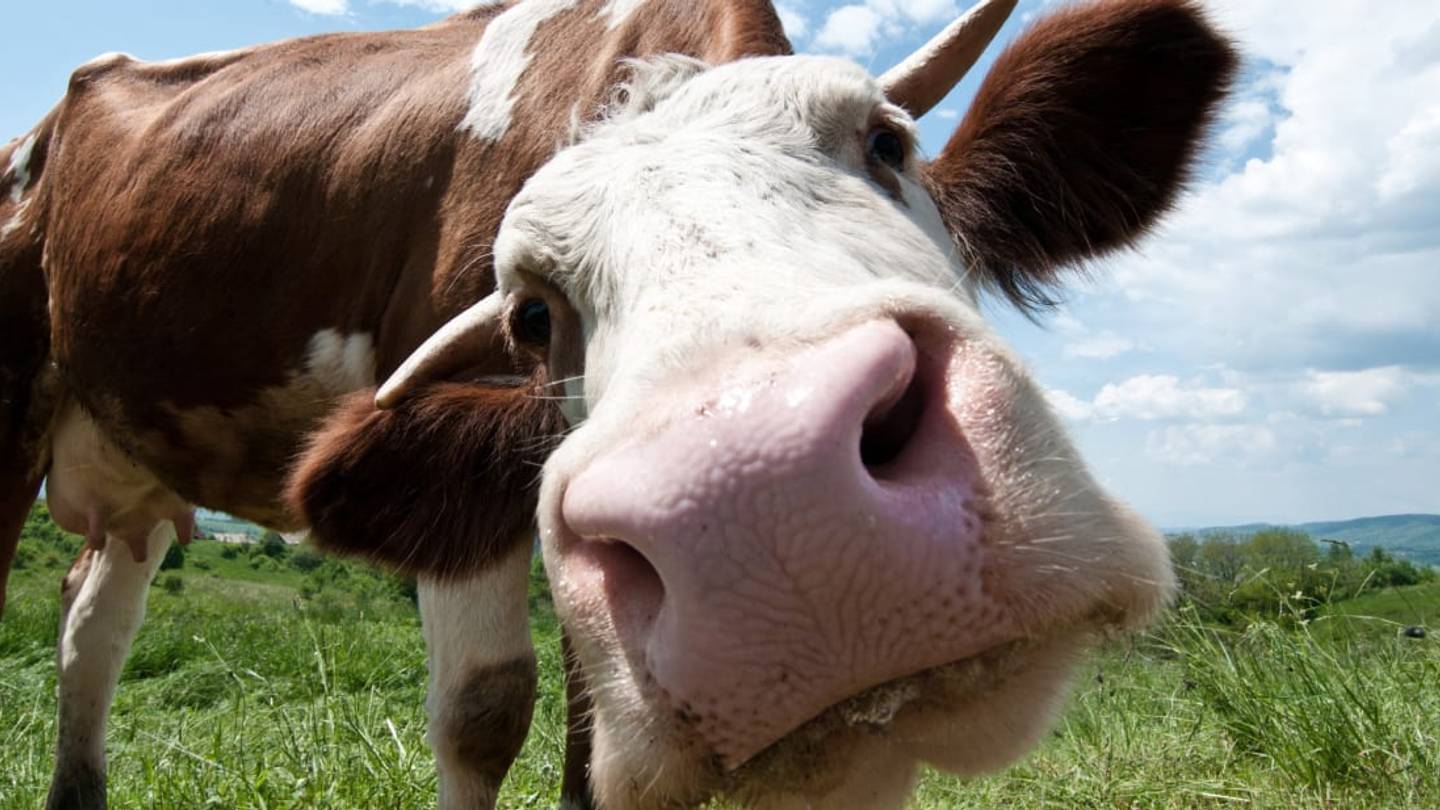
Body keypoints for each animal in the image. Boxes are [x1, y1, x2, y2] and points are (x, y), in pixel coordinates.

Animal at [0, 0, 1236, 808]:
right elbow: (485, 713)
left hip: (138, 481)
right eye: (530, 315)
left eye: (890, 142)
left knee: (90, 628)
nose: (778, 509)